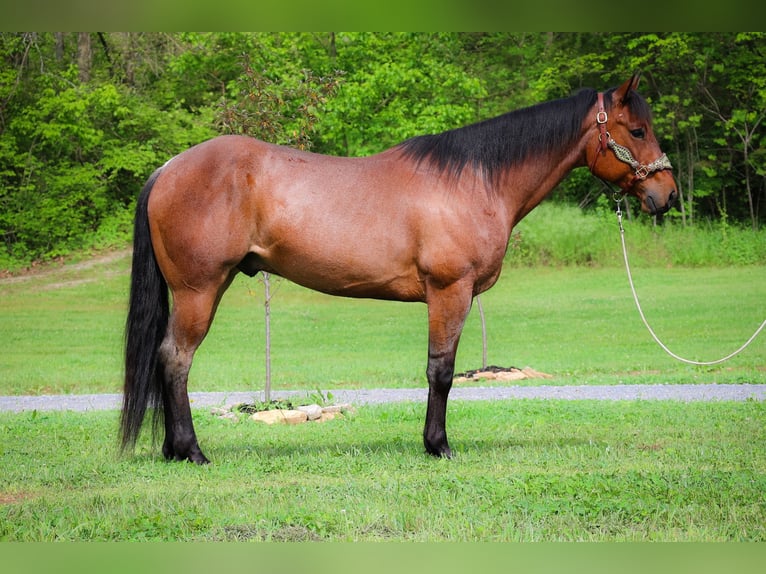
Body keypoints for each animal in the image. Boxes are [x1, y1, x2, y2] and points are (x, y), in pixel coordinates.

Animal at [120, 75, 680, 464]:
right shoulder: (450, 291)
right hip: (199, 289)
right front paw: (439, 445)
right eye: (636, 130)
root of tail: (167, 169)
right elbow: (442, 370)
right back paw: (191, 451)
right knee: (175, 359)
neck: (474, 181)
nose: (668, 195)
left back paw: (174, 450)